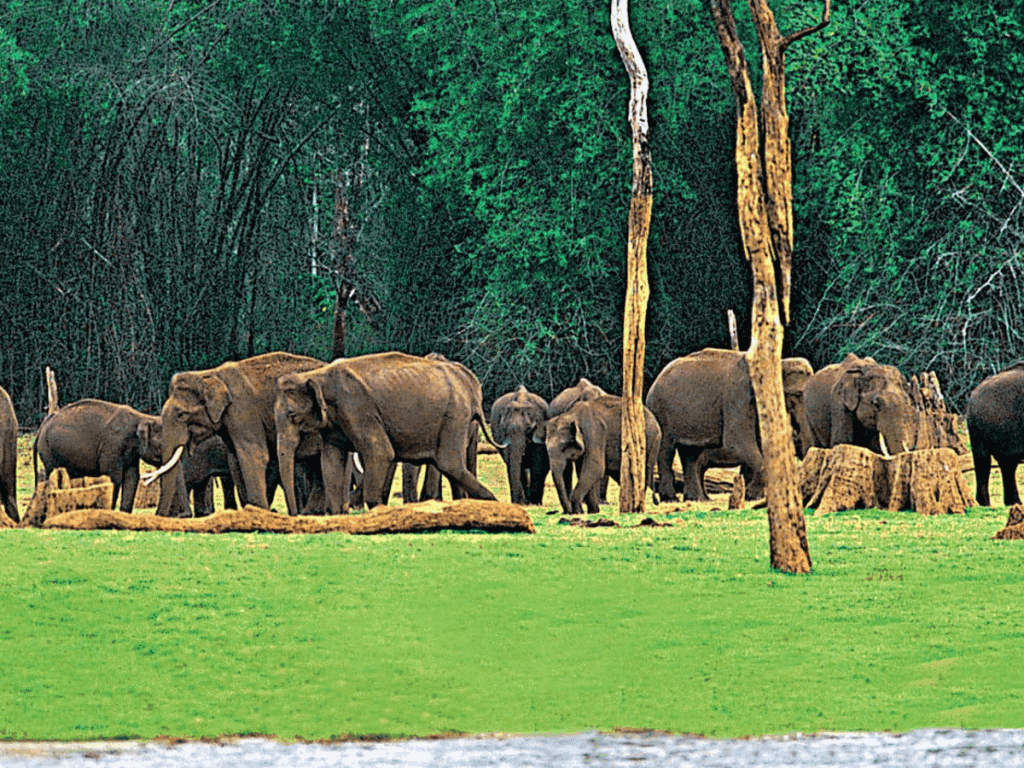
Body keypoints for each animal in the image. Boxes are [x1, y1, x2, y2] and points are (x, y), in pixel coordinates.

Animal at [34, 398, 190, 514]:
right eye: (162, 446)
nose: (186, 515)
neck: (142, 417)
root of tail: (42, 427)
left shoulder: (131, 453)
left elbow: (132, 478)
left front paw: (124, 514)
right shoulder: (113, 444)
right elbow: (114, 477)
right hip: (48, 451)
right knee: (48, 474)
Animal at [149, 351, 327, 517]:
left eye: (181, 414)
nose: (161, 516)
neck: (211, 374)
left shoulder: (243, 411)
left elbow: (253, 456)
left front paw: (259, 512)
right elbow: (236, 461)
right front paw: (251, 510)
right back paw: (313, 512)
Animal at [275, 351, 500, 514]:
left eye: (291, 414)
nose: (296, 514)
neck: (318, 375)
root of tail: (470, 383)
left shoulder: (358, 410)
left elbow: (381, 453)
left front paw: (378, 511)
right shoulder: (333, 423)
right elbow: (330, 461)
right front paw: (336, 514)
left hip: (454, 415)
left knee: (449, 463)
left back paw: (495, 504)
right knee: (452, 468)